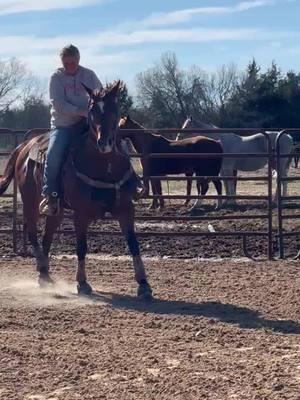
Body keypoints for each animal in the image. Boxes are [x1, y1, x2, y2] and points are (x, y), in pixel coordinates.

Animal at [0, 82, 152, 300]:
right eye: (92, 111)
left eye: (115, 110)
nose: (104, 142)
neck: (104, 166)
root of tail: (23, 147)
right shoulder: (80, 214)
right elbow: (81, 246)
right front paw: (82, 283)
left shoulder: (125, 209)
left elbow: (133, 244)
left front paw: (144, 285)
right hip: (30, 202)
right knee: (33, 234)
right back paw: (42, 268)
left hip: (57, 211)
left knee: (47, 236)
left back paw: (45, 275)